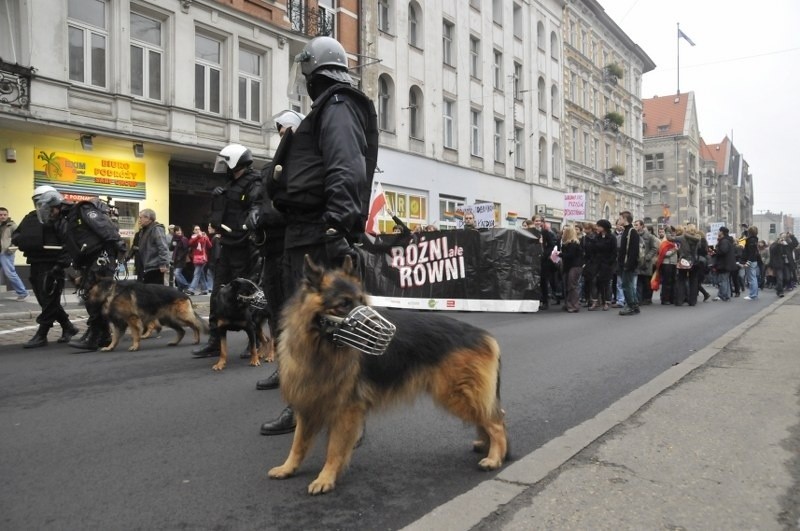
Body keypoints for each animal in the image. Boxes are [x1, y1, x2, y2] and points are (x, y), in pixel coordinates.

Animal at [268, 258, 506, 494]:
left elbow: (334, 449)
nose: (386, 334)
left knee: (496, 421)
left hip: (458, 395)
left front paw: (325, 477)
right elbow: (298, 443)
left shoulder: (345, 411)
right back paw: (485, 445)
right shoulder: (307, 404)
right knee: (491, 417)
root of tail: (484, 335)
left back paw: (495, 457)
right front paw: (288, 468)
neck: (320, 348)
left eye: (362, 301)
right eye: (344, 304)